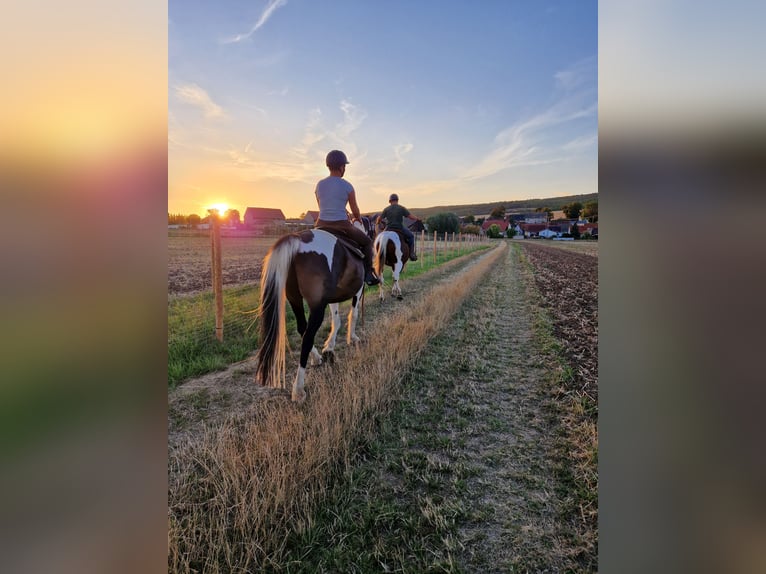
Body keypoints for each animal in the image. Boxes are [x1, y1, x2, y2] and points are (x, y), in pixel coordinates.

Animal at [256, 223, 368, 402]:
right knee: (308, 335)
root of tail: (297, 238)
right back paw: (298, 389)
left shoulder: (330, 297)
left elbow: (336, 320)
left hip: (295, 299)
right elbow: (354, 314)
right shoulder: (358, 290)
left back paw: (316, 358)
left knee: (303, 329)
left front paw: (329, 346)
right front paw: (352, 338)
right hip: (316, 306)